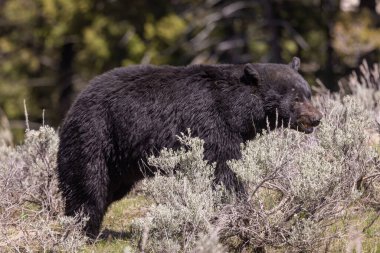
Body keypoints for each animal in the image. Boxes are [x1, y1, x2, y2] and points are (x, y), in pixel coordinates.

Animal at [58, 56, 322, 237]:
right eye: (296, 98)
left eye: (308, 93)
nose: (316, 118)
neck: (235, 109)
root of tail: (77, 101)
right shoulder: (211, 124)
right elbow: (223, 169)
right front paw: (239, 210)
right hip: (96, 133)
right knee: (88, 183)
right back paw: (84, 228)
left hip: (120, 160)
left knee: (110, 189)